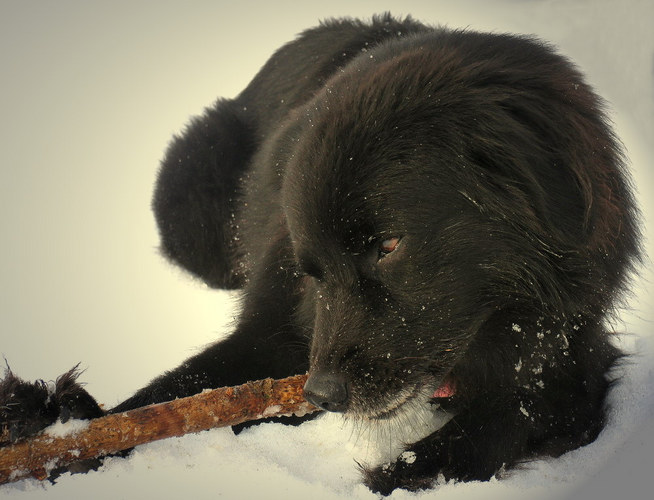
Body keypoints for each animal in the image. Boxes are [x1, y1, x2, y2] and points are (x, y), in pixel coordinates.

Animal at [2, 13, 644, 494]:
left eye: (388, 246)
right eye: (315, 272)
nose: (323, 395)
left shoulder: (570, 361)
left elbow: (500, 423)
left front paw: (401, 470)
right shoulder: (271, 335)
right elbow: (170, 395)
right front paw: (52, 426)